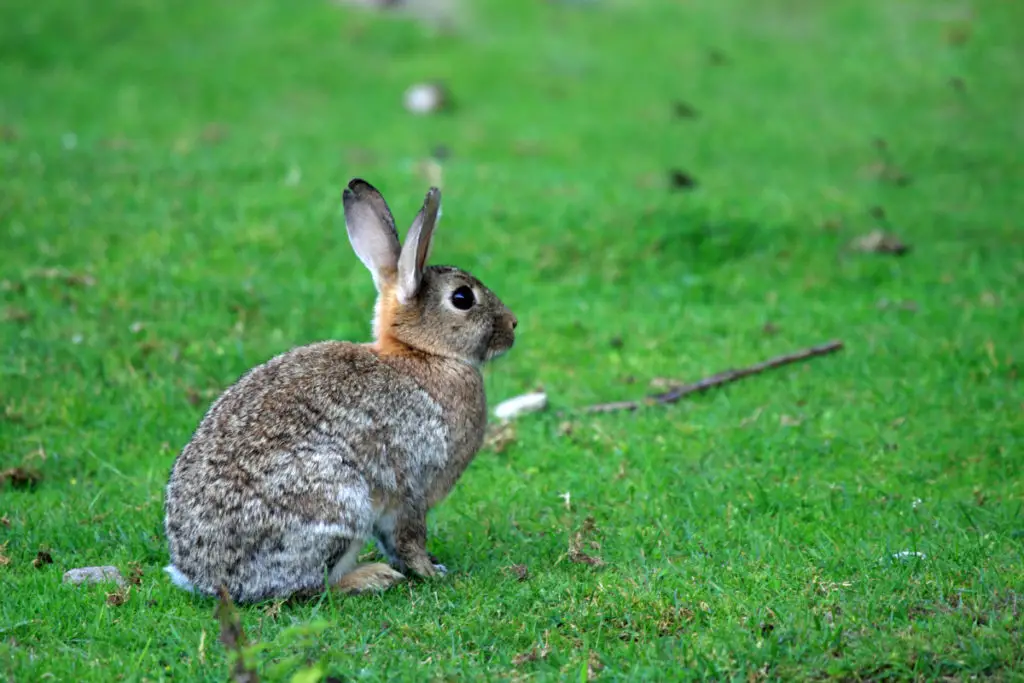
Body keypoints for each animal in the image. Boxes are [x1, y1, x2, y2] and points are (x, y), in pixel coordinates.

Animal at [165, 179, 520, 602]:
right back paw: (371, 577)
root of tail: (202, 576)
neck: (422, 353)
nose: (513, 324)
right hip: (335, 502)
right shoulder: (411, 487)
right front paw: (431, 572)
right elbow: (408, 538)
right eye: (463, 298)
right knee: (313, 586)